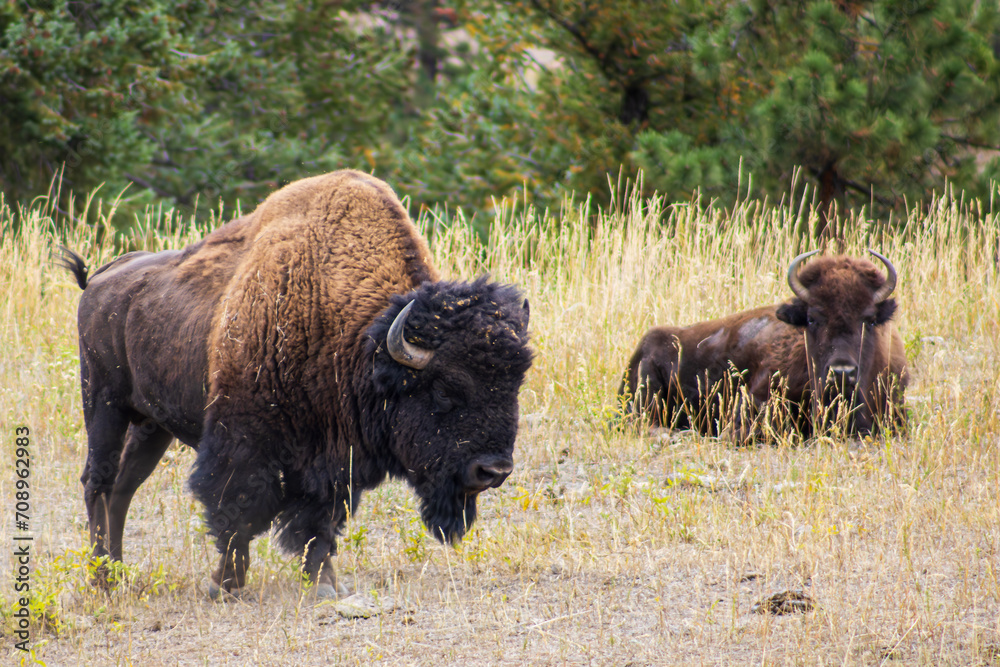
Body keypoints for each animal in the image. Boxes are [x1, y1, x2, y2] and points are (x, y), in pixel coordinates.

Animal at [59, 170, 536, 596]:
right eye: (446, 389)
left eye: (514, 386)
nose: (494, 471)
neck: (360, 339)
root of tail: (98, 279)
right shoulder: (243, 442)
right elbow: (237, 512)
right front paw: (225, 586)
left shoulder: (333, 458)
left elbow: (319, 522)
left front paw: (324, 585)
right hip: (103, 401)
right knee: (98, 481)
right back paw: (102, 580)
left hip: (151, 424)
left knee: (124, 487)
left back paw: (118, 572)